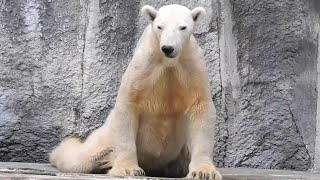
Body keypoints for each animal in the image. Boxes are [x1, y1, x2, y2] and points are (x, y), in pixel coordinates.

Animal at [48, 4, 221, 180]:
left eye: (182, 27)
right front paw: (128, 169)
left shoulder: (190, 65)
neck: (168, 61)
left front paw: (204, 172)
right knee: (79, 158)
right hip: (107, 136)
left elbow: (200, 107)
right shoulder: (145, 64)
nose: (168, 48)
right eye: (160, 26)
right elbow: (129, 103)